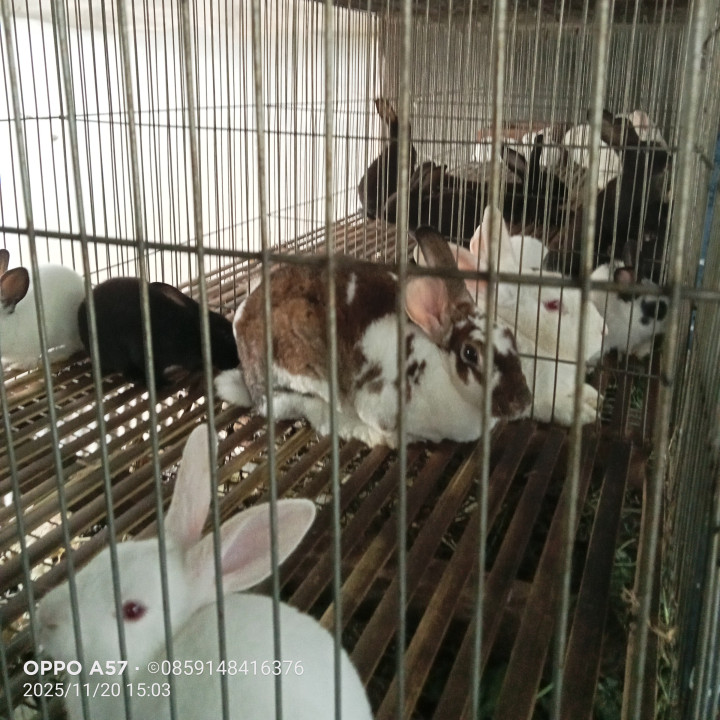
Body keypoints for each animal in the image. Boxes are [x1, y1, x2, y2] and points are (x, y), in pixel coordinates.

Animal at [77, 277, 239, 387]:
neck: (190, 332)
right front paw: (165, 384)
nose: (237, 361)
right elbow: (153, 374)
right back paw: (133, 375)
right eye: (225, 335)